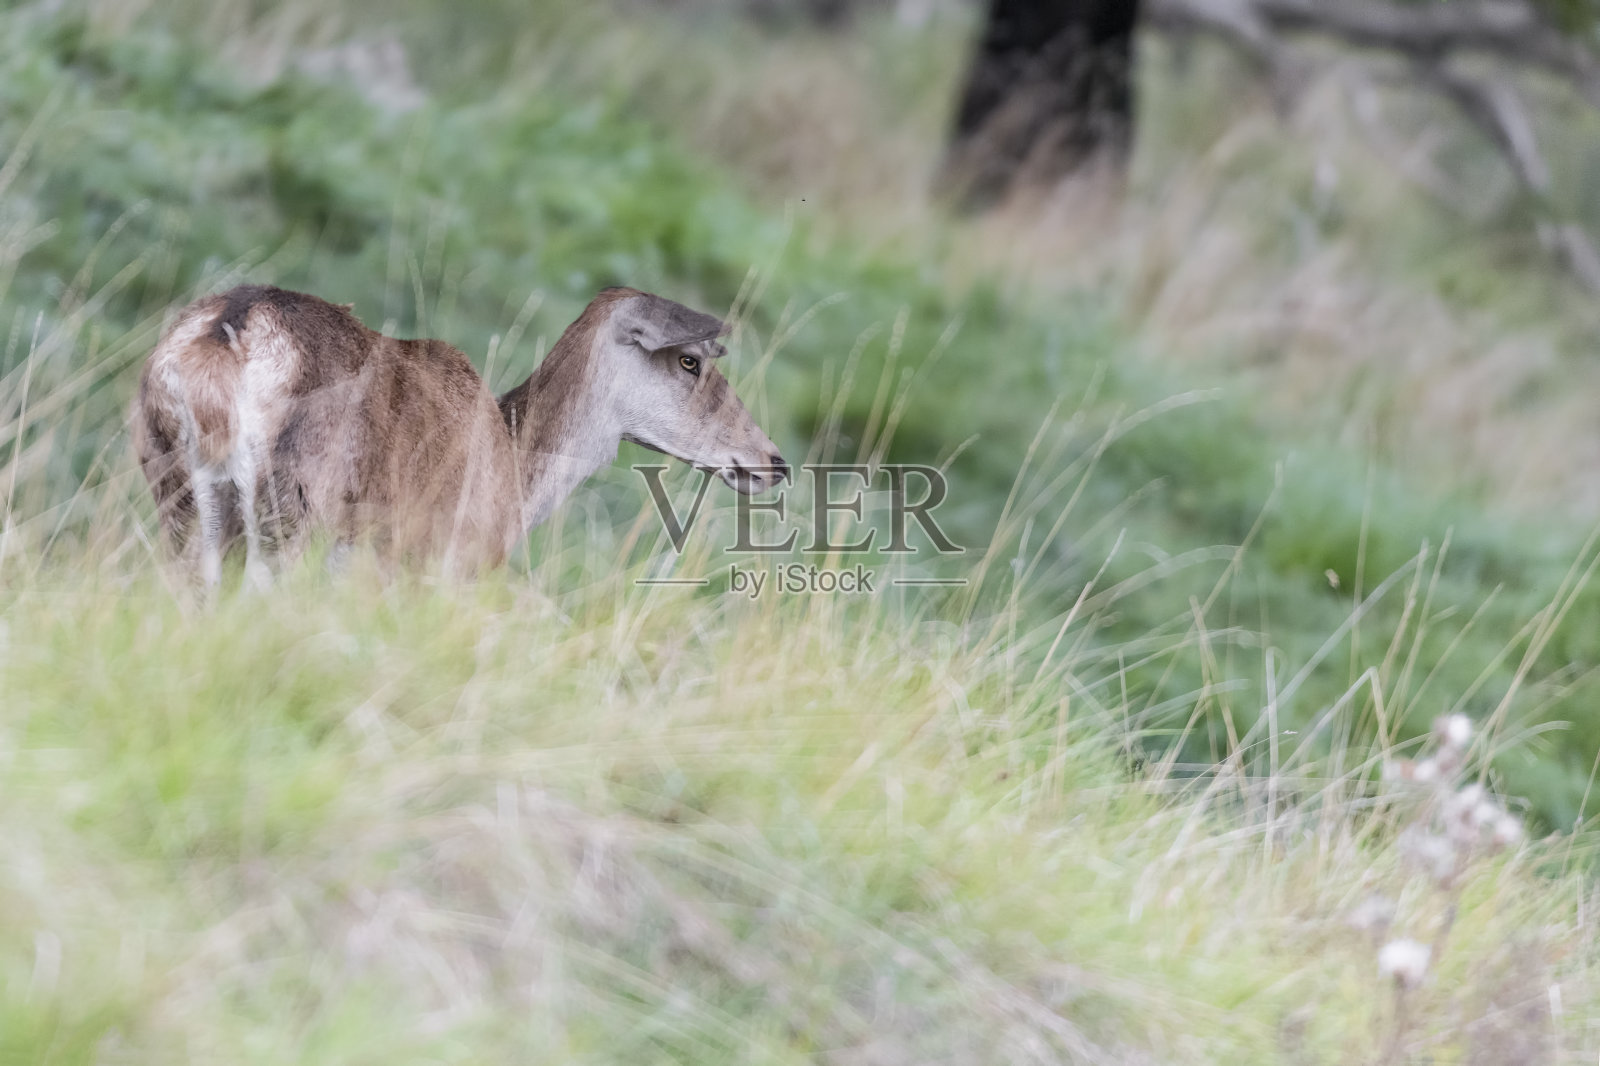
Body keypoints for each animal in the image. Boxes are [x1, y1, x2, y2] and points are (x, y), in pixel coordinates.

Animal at [133, 284, 787, 585]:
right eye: (690, 361)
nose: (773, 461)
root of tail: (226, 333)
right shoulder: (447, 565)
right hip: (294, 514)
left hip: (180, 496)